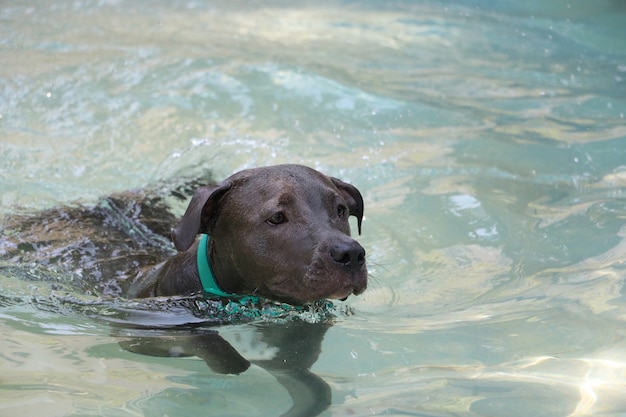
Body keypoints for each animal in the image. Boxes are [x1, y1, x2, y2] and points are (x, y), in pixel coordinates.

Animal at [0, 164, 366, 414]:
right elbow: (215, 348)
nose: (350, 253)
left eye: (340, 210)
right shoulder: (139, 331)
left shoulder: (294, 358)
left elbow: (317, 391)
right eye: (276, 217)